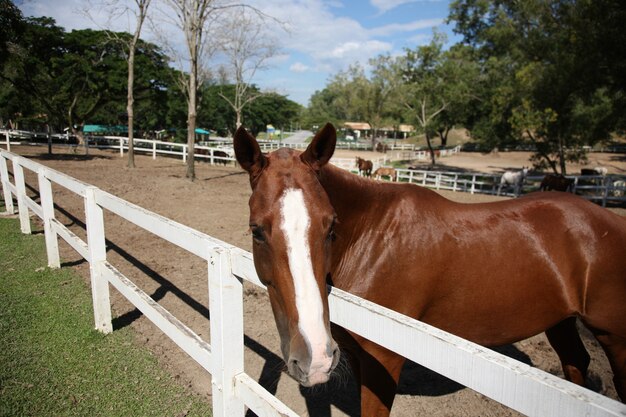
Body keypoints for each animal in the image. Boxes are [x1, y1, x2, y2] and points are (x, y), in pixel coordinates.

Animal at [233, 123, 624, 416]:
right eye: (257, 231)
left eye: (331, 227)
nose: (314, 359)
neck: (372, 239)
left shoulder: (383, 361)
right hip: (560, 320)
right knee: (576, 361)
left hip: (613, 336)